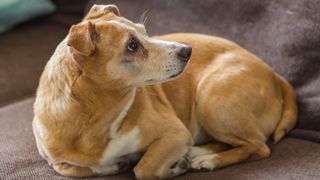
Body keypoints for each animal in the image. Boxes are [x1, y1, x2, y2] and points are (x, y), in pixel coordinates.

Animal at [32, 3, 298, 179]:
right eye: (132, 45)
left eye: (144, 31)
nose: (188, 51)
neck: (98, 116)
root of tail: (273, 73)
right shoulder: (55, 160)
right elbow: (71, 169)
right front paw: (116, 165)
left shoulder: (175, 133)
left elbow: (144, 169)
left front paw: (175, 167)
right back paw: (197, 152)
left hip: (211, 99)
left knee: (258, 146)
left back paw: (206, 161)